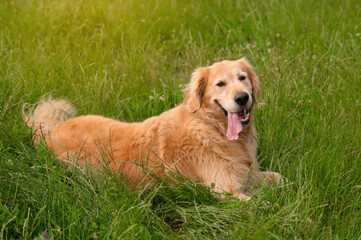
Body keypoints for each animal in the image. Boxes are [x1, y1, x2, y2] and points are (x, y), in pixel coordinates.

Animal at [23, 58, 282, 201]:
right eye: (220, 83)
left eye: (243, 78)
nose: (242, 97)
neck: (210, 127)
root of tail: (50, 133)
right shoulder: (225, 190)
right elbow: (263, 206)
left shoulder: (246, 174)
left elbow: (279, 178)